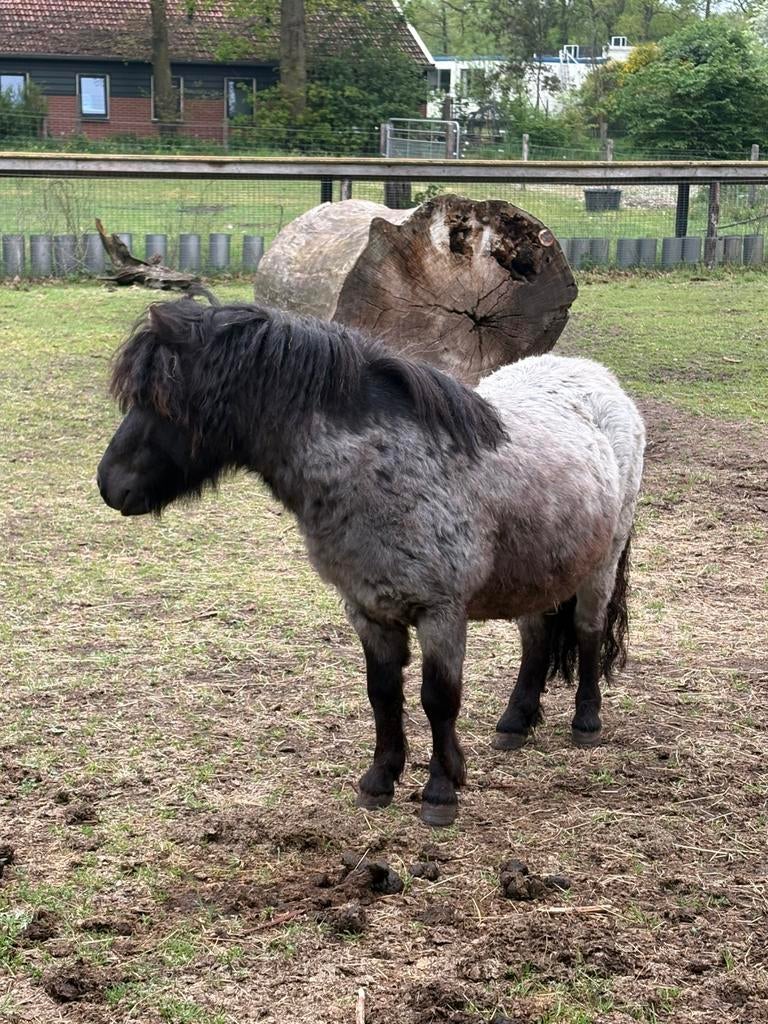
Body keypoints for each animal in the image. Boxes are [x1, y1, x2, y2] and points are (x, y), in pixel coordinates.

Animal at [97, 298, 645, 827]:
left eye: (162, 399)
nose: (109, 485)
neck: (383, 468)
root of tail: (599, 379)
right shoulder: (368, 609)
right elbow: (382, 694)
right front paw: (379, 781)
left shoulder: (441, 613)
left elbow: (438, 699)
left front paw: (440, 792)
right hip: (536, 573)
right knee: (537, 639)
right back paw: (515, 722)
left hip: (599, 565)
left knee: (588, 631)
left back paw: (586, 722)